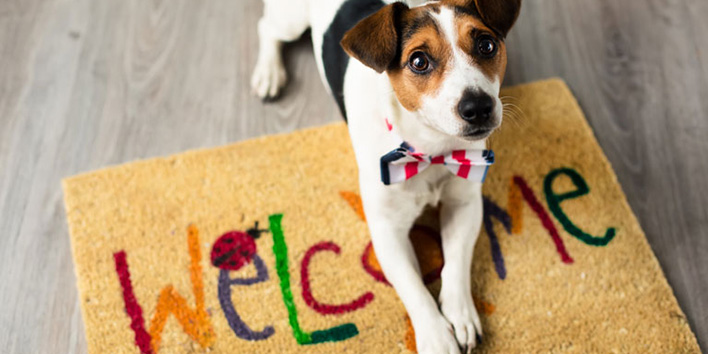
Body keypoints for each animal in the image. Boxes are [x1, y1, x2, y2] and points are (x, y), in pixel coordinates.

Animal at [252, 1, 516, 352]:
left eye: (486, 45)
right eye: (419, 61)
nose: (478, 107)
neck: (430, 151)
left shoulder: (464, 205)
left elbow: (456, 262)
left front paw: (460, 313)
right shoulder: (387, 231)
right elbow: (414, 288)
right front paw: (436, 336)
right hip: (290, 21)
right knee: (267, 28)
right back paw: (268, 73)